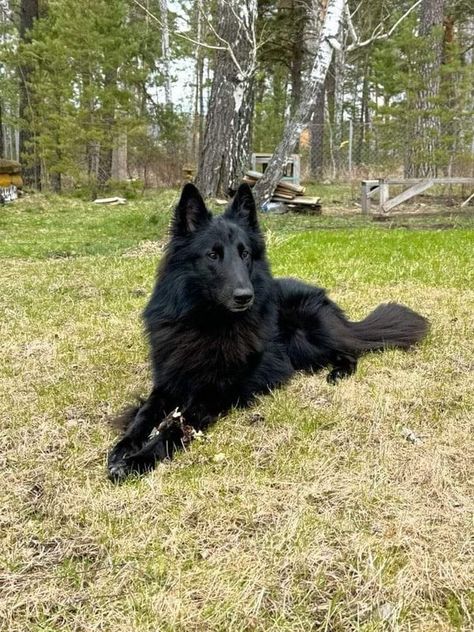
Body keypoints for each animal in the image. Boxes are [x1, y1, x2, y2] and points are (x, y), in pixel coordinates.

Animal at [108, 183, 430, 478]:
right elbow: (144, 414)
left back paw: (338, 373)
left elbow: (176, 425)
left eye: (245, 254)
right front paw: (124, 446)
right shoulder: (168, 381)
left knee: (349, 352)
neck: (205, 321)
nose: (245, 296)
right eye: (212, 255)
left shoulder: (214, 393)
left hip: (306, 338)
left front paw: (140, 459)